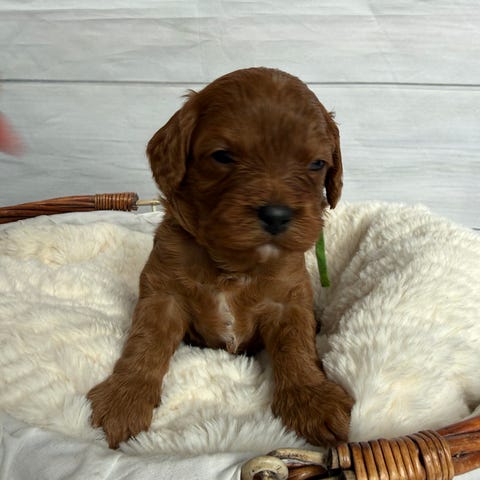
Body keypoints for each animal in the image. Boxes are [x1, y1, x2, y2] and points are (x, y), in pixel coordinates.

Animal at [87, 67, 353, 449]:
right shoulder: (163, 295)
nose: (277, 215)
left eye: (317, 164)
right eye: (223, 157)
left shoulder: (289, 302)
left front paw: (311, 399)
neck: (234, 264)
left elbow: (297, 346)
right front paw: (126, 396)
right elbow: (145, 341)